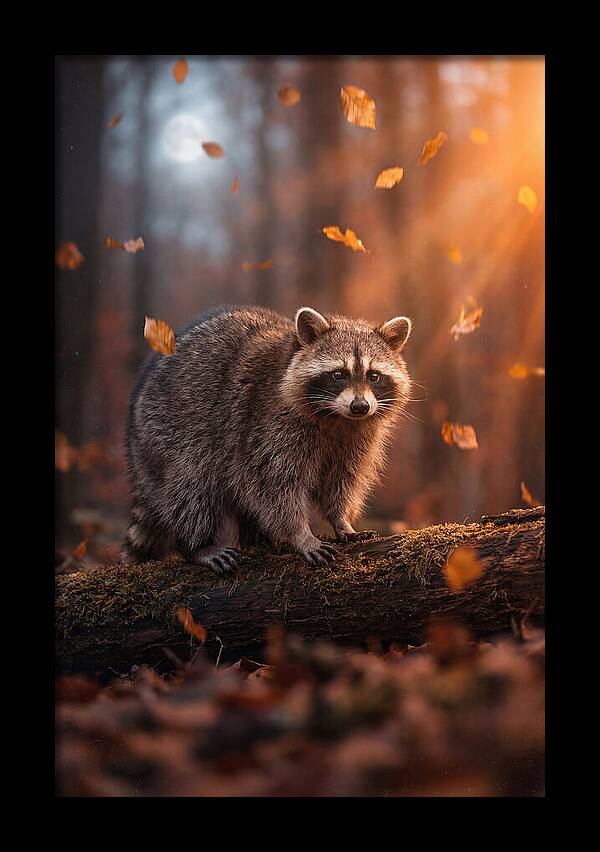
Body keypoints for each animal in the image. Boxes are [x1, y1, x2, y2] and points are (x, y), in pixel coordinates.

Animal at [122, 305, 412, 575]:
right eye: (339, 374)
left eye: (374, 375)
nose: (360, 406)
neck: (337, 417)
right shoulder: (267, 423)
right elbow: (274, 484)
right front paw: (300, 534)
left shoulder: (356, 437)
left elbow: (342, 480)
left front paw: (341, 520)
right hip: (167, 431)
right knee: (190, 486)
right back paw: (197, 544)